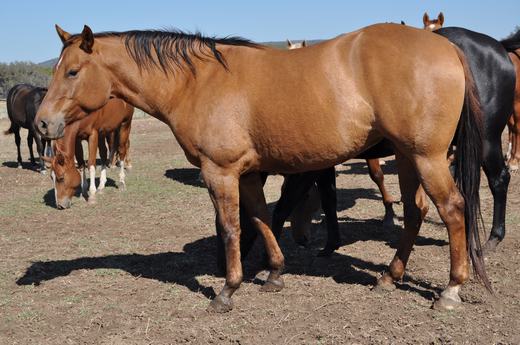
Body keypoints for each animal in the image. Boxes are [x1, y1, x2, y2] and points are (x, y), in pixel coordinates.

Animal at [35, 22, 484, 310]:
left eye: (72, 71)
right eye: (56, 69)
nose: (41, 122)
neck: (196, 82)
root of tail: (447, 47)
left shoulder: (220, 172)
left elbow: (233, 227)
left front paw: (227, 291)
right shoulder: (248, 174)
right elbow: (263, 219)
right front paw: (274, 274)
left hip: (426, 157)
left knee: (452, 209)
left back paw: (450, 290)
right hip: (407, 157)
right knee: (415, 212)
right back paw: (389, 277)